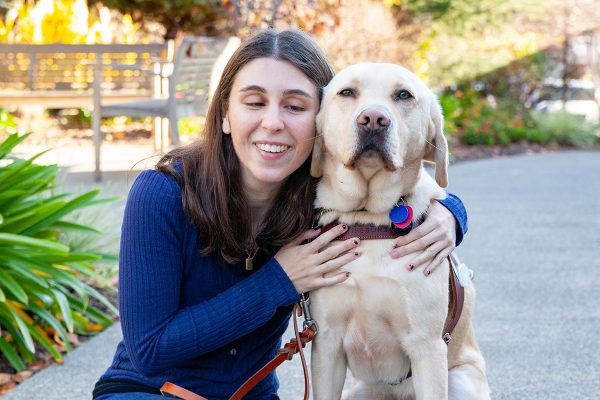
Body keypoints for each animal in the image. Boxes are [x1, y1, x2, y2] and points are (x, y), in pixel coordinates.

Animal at [308, 63, 490, 400]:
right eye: (347, 92)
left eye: (403, 95)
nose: (373, 119)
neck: (368, 220)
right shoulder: (326, 345)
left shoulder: (427, 346)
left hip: (461, 381)